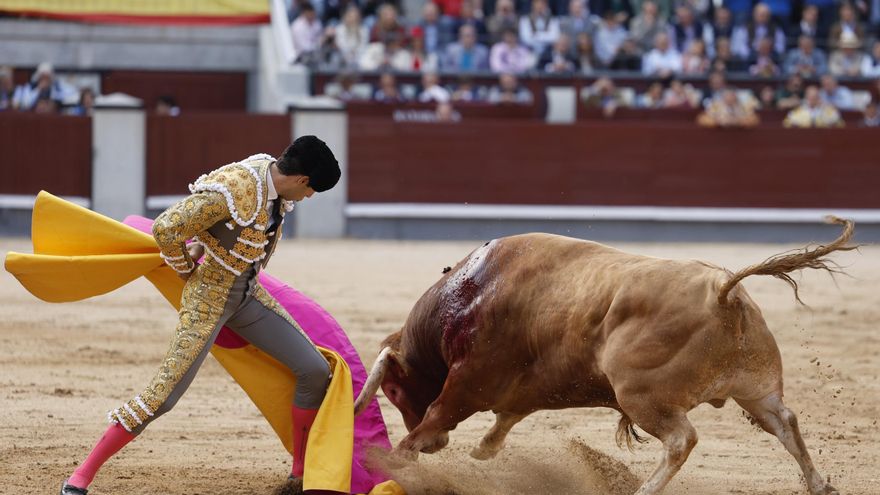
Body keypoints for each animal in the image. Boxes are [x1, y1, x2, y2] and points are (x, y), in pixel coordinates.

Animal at [356, 220, 852, 495]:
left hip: (641, 396)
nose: (440, 449)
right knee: (785, 423)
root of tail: (723, 292)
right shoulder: (522, 390)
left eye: (393, 389)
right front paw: (482, 450)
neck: (468, 295)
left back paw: (644, 491)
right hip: (756, 388)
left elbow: (434, 417)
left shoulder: (466, 386)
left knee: (681, 440)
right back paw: (820, 484)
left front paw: (393, 460)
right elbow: (505, 419)